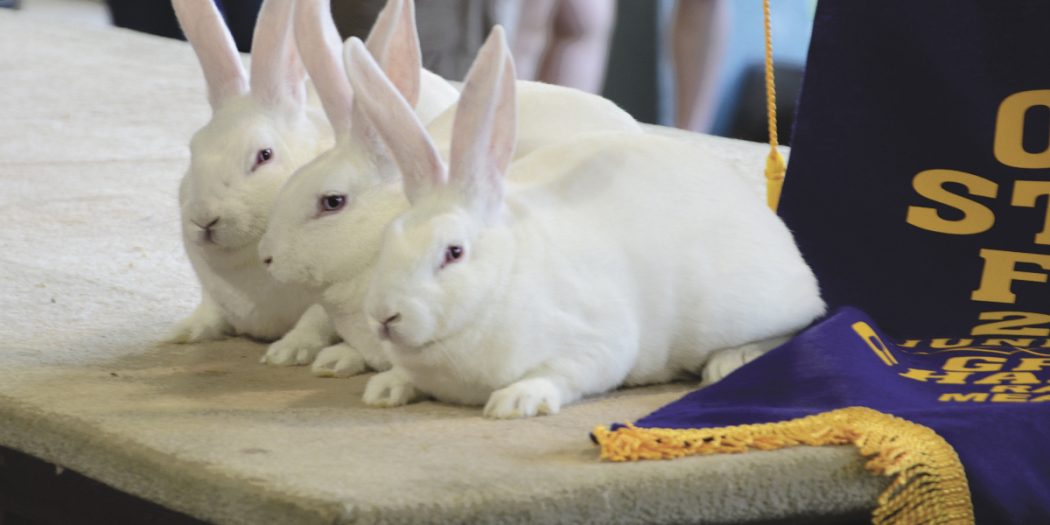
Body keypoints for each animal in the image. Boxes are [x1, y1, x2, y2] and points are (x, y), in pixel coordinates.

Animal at [351, 26, 826, 418]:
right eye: (389, 239)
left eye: (453, 252)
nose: (384, 316)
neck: (502, 280)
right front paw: (385, 389)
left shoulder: (595, 341)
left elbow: (565, 372)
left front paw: (516, 401)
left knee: (796, 327)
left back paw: (730, 362)